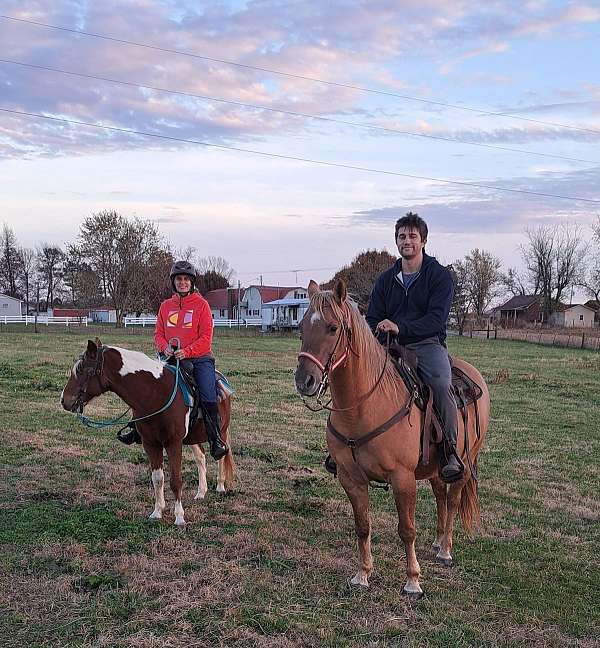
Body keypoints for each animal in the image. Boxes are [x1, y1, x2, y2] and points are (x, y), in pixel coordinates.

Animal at [60, 340, 234, 528]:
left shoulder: (173, 443)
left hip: (221, 431)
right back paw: (201, 492)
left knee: (222, 454)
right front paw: (157, 512)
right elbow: (157, 478)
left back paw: (220, 486)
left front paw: (179, 517)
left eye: (82, 370)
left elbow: (176, 480)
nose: (63, 400)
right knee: (201, 458)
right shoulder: (151, 443)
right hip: (192, 437)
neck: (156, 393)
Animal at [294, 280, 488, 596]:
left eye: (333, 328)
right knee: (440, 495)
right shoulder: (351, 479)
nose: (304, 380)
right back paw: (437, 541)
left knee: (453, 500)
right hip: (434, 466)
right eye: (301, 327)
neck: (364, 406)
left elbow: (406, 530)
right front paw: (362, 574)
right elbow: (363, 526)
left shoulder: (402, 478)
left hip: (464, 462)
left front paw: (412, 580)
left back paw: (445, 549)